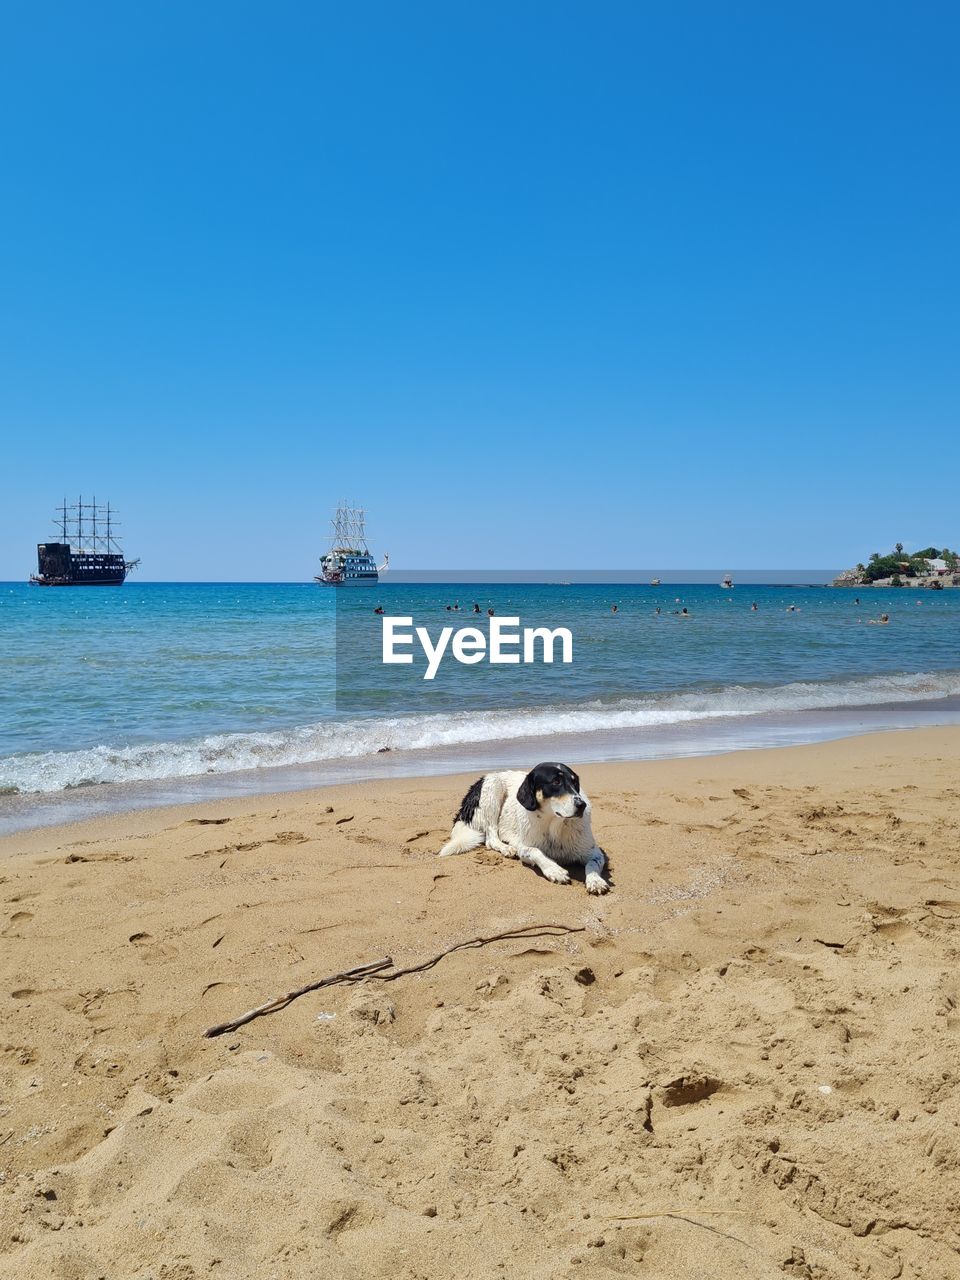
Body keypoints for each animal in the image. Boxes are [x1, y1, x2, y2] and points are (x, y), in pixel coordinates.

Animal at [437, 762, 609, 896]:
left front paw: (595, 880)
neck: (554, 824)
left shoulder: (594, 851)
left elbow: (593, 863)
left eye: (575, 783)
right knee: (491, 838)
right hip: (493, 789)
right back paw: (506, 848)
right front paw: (555, 870)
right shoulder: (524, 847)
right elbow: (536, 852)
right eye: (555, 782)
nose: (582, 805)